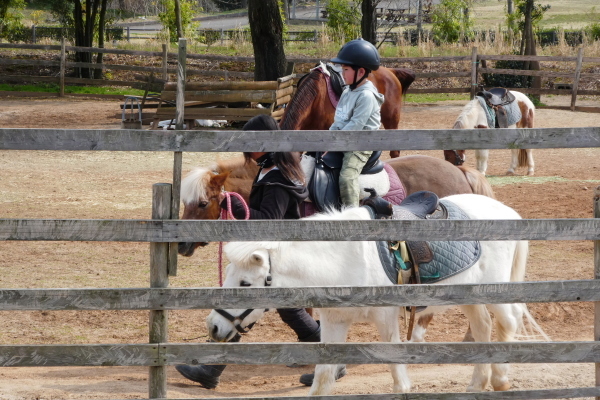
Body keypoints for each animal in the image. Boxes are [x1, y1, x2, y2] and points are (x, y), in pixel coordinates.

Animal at [206, 194, 544, 394]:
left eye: (245, 284)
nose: (213, 327)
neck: (342, 259)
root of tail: (507, 211)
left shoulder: (386, 320)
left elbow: (398, 377)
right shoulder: (334, 324)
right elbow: (323, 381)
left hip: (495, 292)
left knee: (508, 322)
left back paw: (500, 379)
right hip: (467, 296)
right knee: (483, 328)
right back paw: (476, 385)